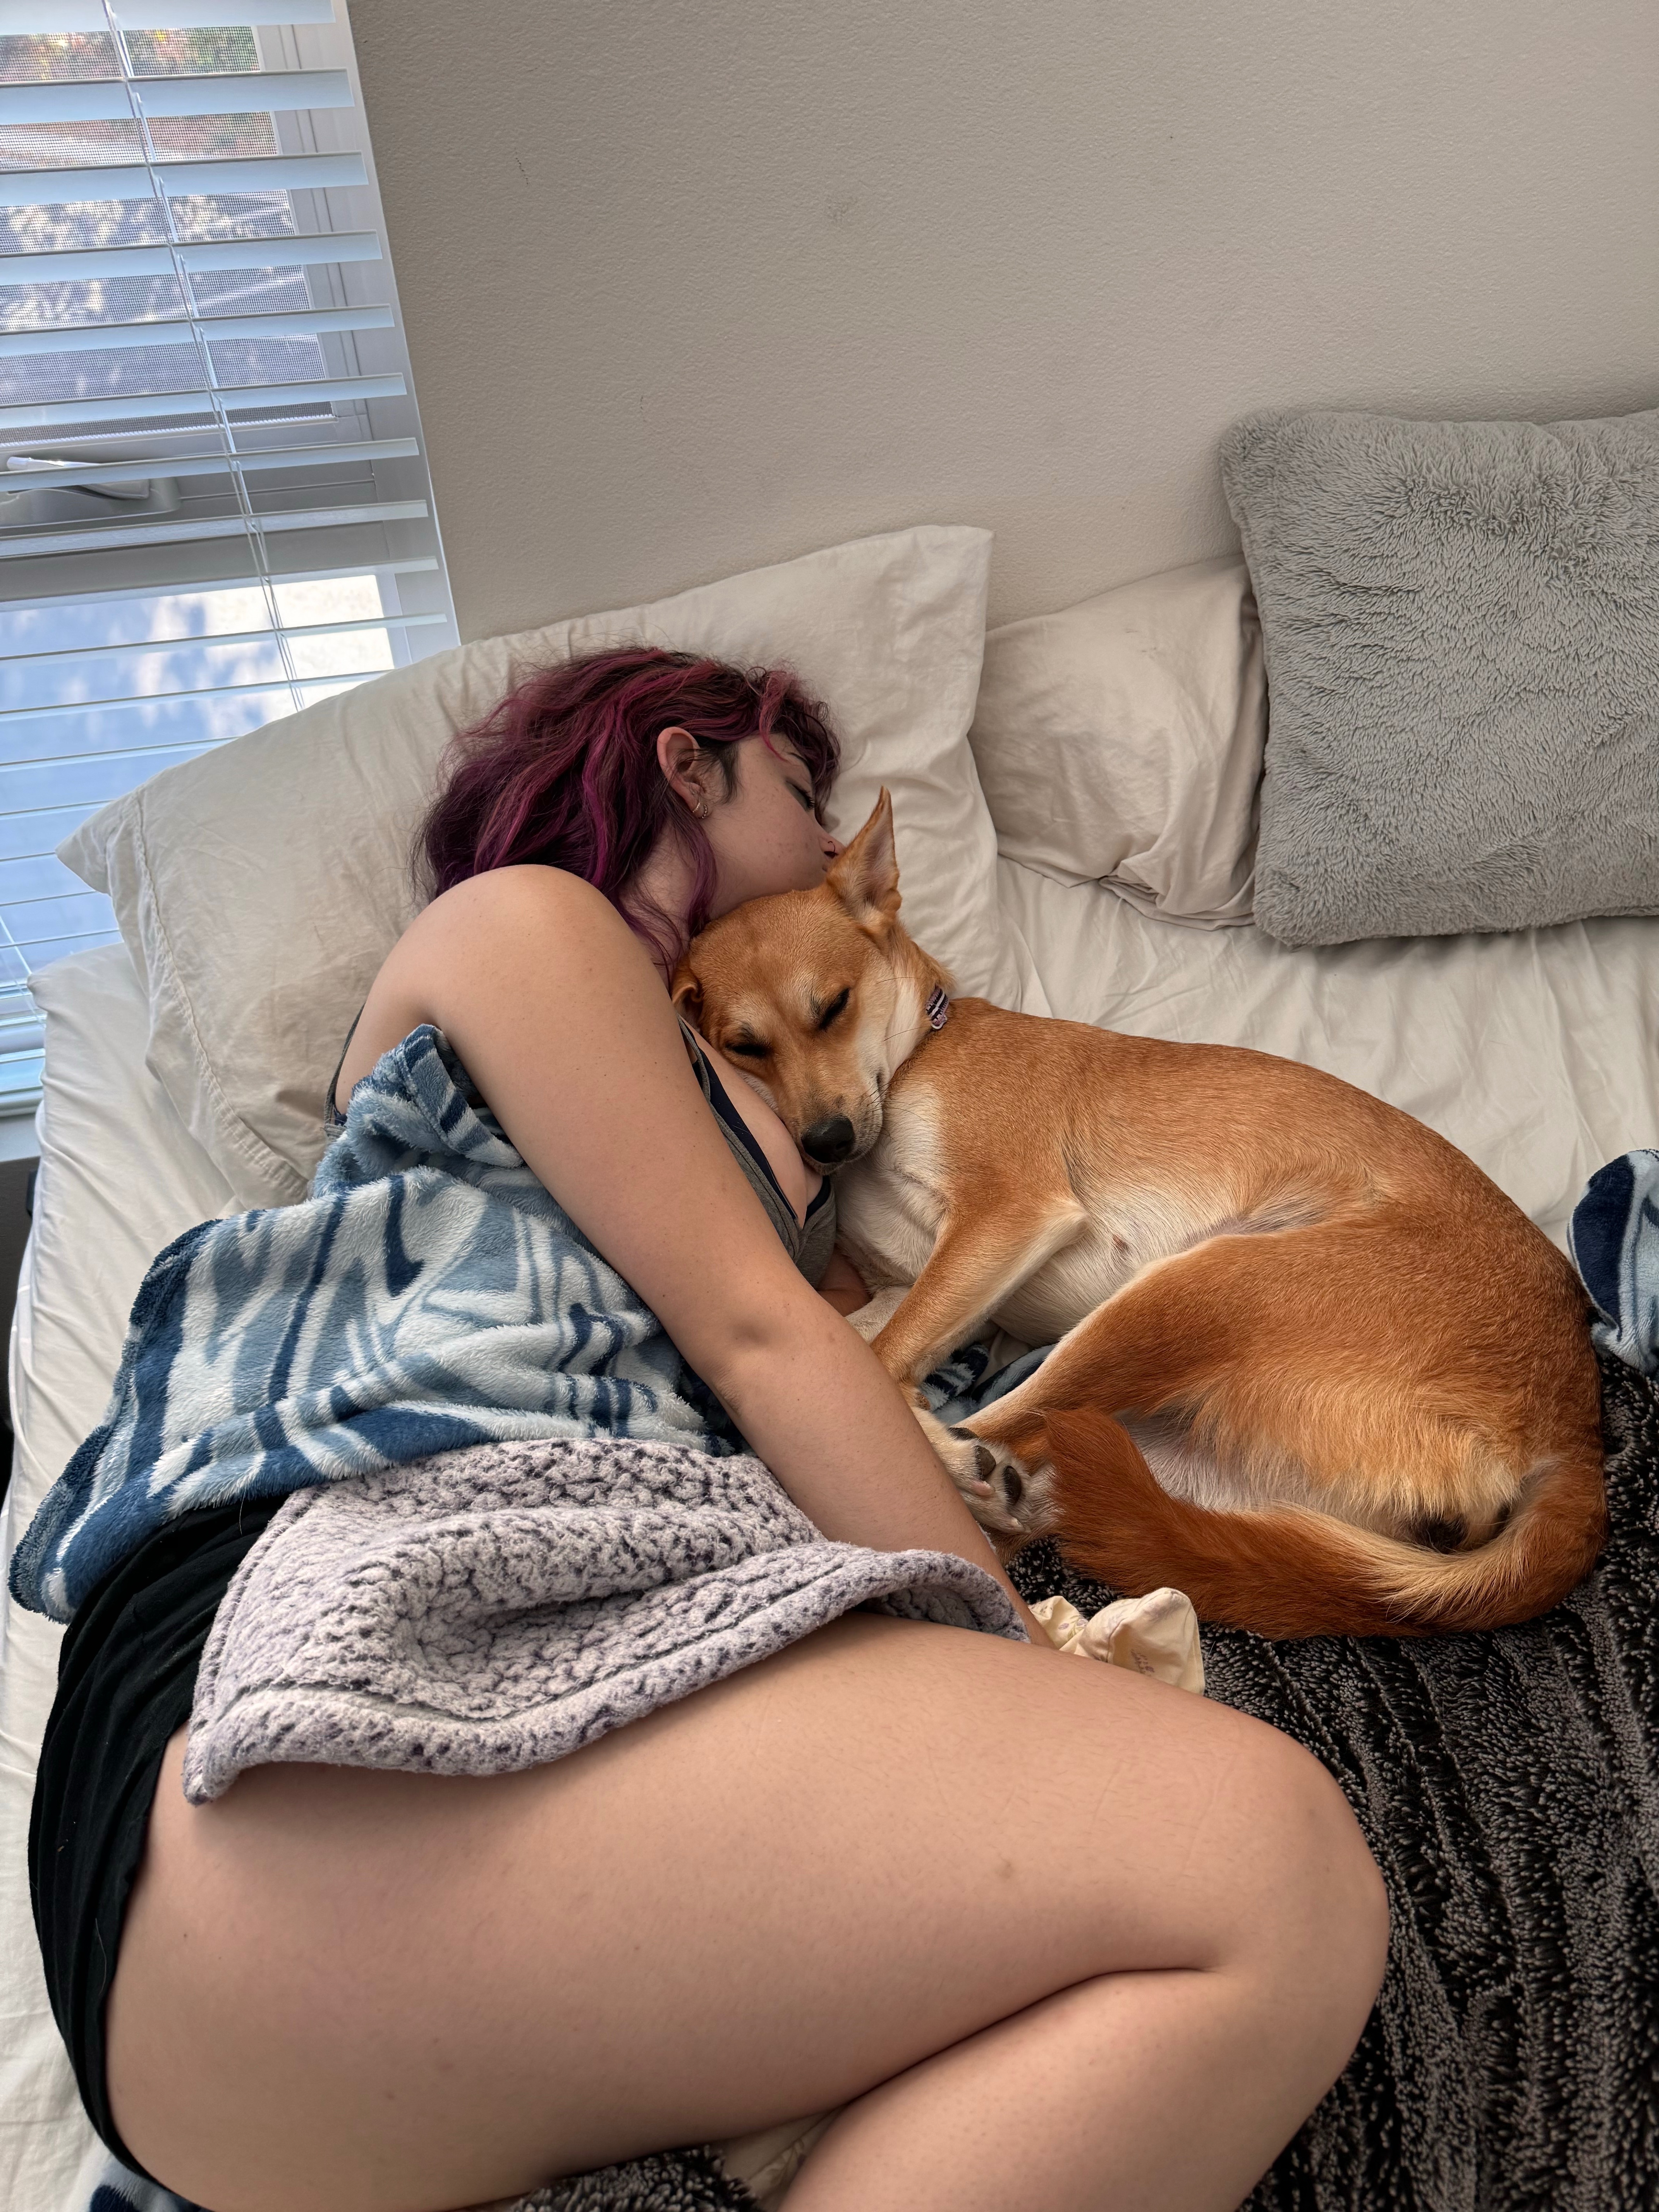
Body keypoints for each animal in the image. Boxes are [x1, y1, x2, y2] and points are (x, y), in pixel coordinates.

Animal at [672, 793, 1607, 1639]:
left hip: (1200, 1288)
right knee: (1033, 1502)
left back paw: (967, 1464)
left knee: (994, 1434)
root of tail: (1577, 1434)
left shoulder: (1007, 1212)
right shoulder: (908, 1285)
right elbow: (862, 1341)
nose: (824, 1143)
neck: (916, 1058)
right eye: (742, 1045)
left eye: (831, 1007)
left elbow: (881, 1363)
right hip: (1181, 1452)